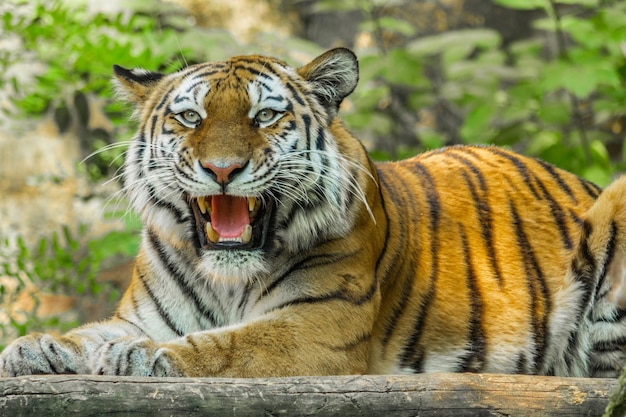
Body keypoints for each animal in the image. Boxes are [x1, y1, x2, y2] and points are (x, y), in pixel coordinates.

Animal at [1, 48, 624, 376]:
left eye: (264, 116)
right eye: (190, 118)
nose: (222, 169)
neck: (227, 280)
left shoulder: (319, 325)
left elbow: (230, 343)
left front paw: (144, 357)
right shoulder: (141, 313)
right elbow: (92, 331)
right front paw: (35, 345)